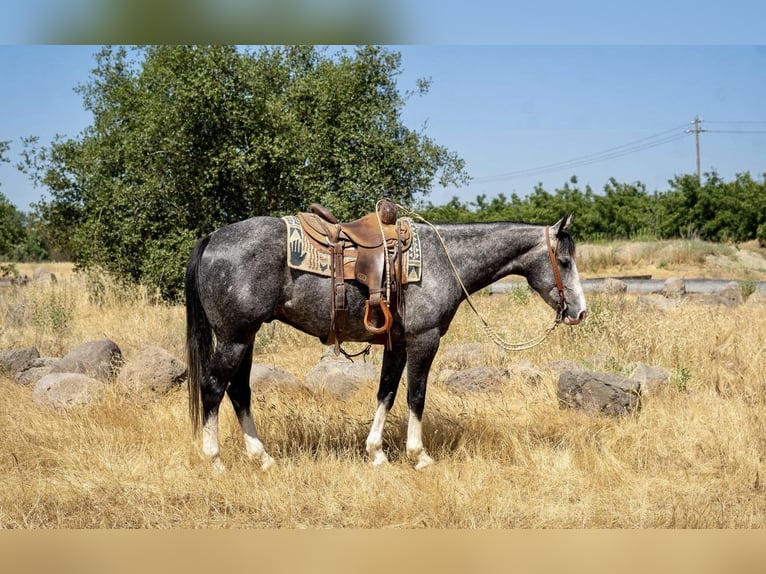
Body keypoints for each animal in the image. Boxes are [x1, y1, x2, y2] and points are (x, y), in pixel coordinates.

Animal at [186, 212, 588, 472]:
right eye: (565, 261)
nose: (580, 312)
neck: (444, 261)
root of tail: (210, 239)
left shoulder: (398, 344)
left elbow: (387, 393)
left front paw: (376, 451)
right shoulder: (424, 339)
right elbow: (416, 396)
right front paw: (418, 455)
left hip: (245, 338)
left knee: (239, 391)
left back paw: (263, 458)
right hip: (235, 339)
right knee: (213, 387)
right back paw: (215, 459)